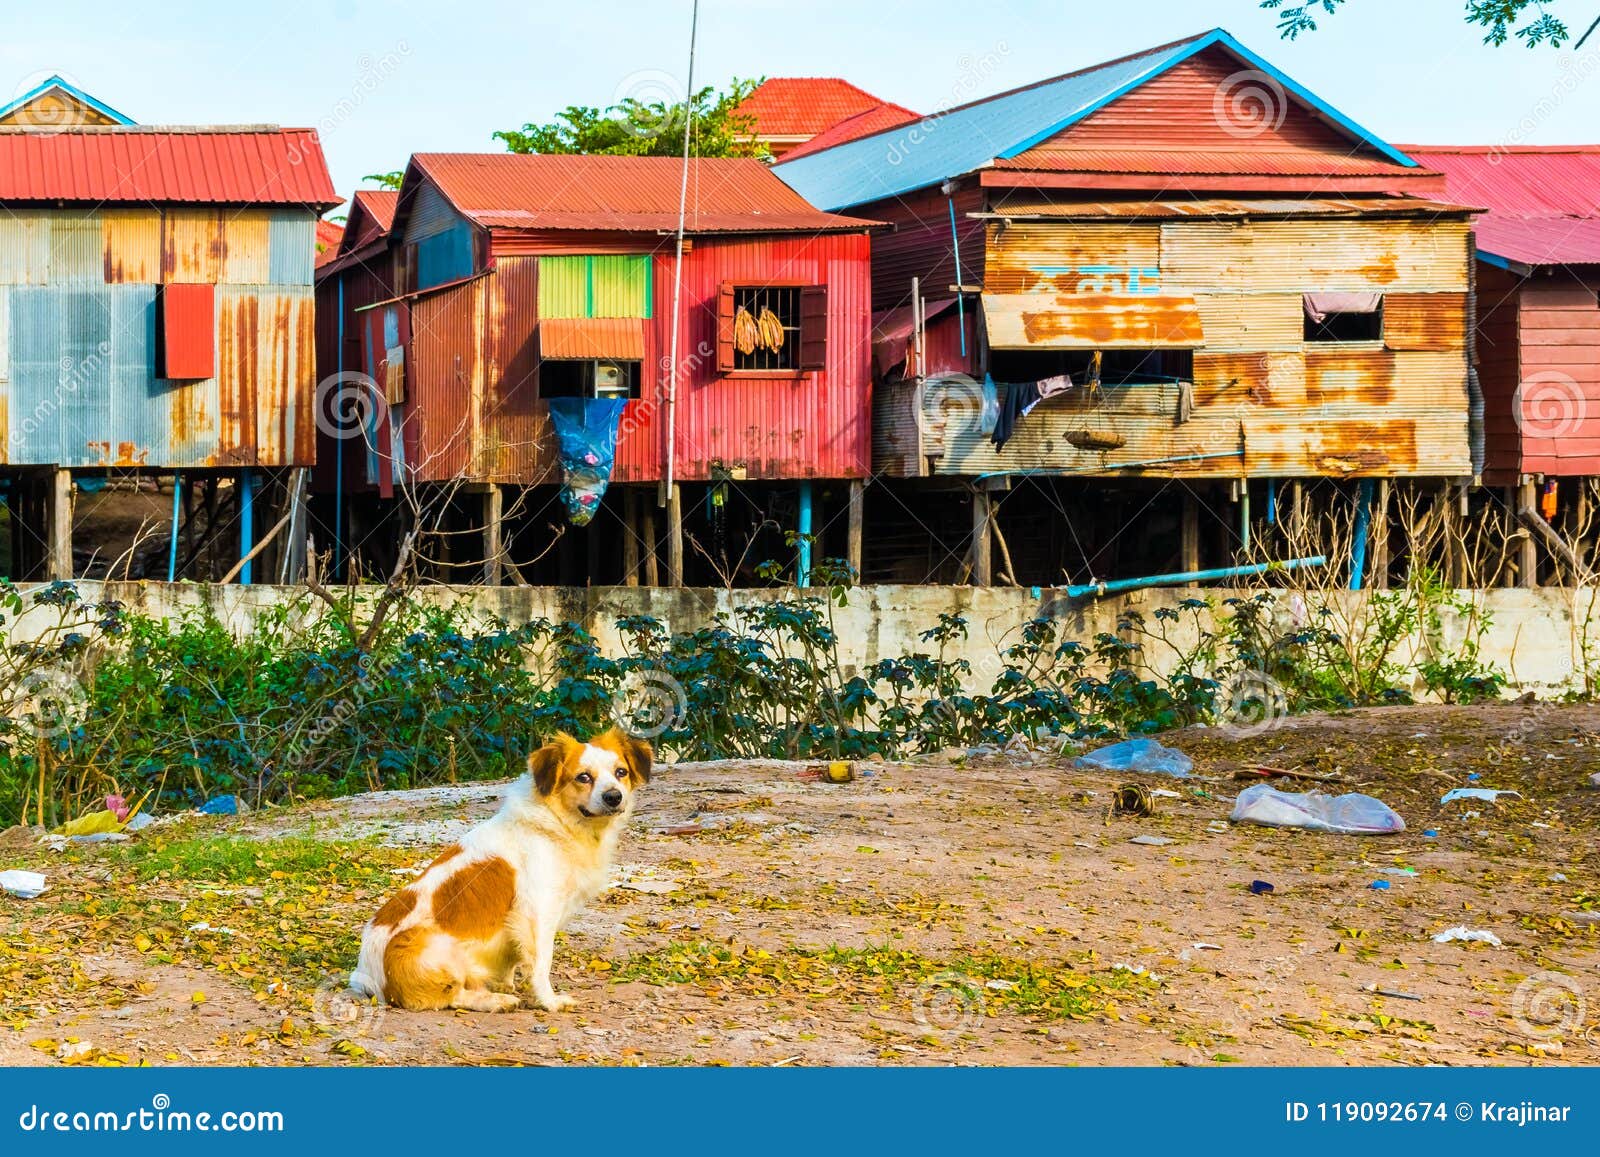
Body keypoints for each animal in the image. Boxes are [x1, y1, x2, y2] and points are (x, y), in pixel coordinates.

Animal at [350, 732, 649, 1011]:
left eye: (620, 772)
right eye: (583, 777)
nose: (614, 797)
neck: (558, 823)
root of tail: (367, 975)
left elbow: (513, 957)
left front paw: (506, 982)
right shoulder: (537, 913)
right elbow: (541, 963)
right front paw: (548, 1001)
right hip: (431, 946)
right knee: (451, 996)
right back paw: (494, 1001)